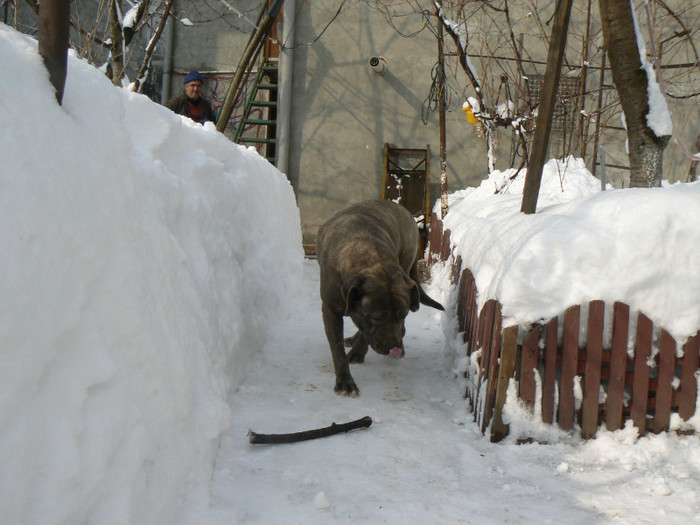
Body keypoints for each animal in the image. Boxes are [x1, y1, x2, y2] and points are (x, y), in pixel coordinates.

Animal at [318, 199, 442, 396]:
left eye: (404, 315)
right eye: (376, 317)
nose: (395, 348)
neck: (370, 258)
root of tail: (410, 216)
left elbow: (365, 332)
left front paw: (357, 352)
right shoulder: (330, 309)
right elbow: (337, 347)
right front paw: (345, 381)